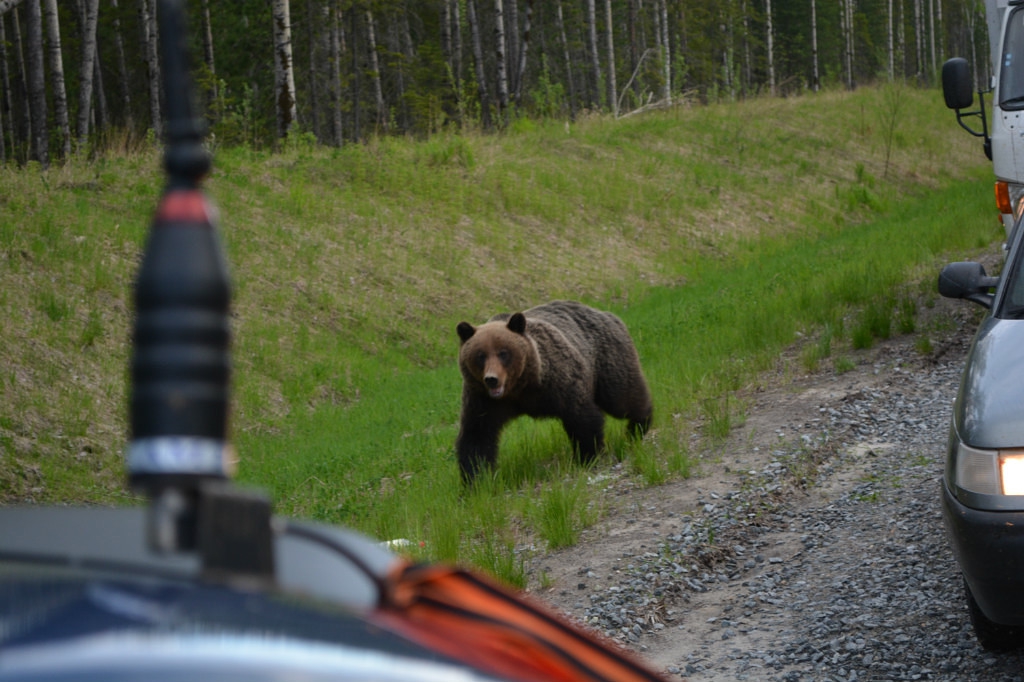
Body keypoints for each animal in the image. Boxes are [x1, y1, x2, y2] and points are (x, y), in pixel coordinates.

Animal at [458, 299, 655, 483]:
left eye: (503, 353)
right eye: (480, 355)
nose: (491, 379)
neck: (520, 388)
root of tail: (604, 313)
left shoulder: (559, 382)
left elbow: (582, 418)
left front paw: (587, 457)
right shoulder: (483, 400)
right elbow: (477, 436)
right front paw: (476, 480)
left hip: (608, 360)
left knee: (623, 398)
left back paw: (639, 426)